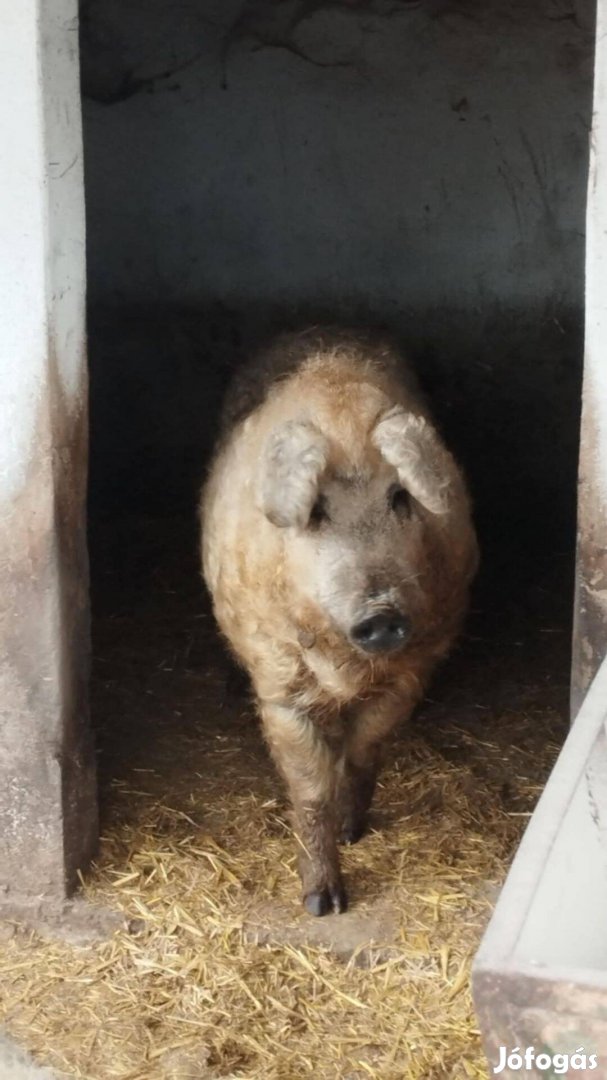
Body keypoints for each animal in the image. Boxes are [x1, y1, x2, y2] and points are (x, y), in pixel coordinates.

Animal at [200, 326, 475, 911]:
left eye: (400, 497)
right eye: (316, 511)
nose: (381, 613)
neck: (347, 665)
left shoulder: (415, 669)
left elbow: (366, 746)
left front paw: (354, 831)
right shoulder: (279, 682)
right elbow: (310, 789)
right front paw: (323, 904)